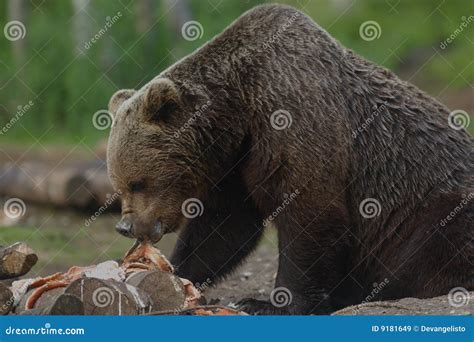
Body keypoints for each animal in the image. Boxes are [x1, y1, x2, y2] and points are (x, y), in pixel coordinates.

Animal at [107, 4, 474, 314]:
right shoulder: (237, 164)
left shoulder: (296, 119)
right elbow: (226, 226)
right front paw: (173, 275)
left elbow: (309, 213)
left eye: (137, 182)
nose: (125, 227)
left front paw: (269, 302)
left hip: (432, 205)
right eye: (119, 185)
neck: (239, 112)